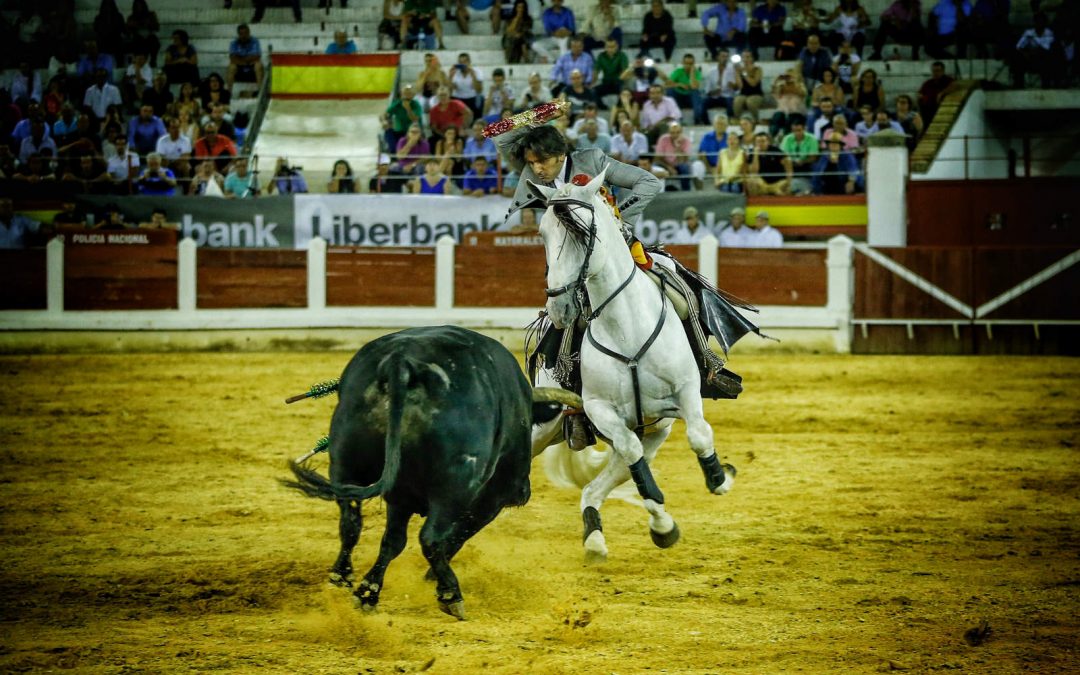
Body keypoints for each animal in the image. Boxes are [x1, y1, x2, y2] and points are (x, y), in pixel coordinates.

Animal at [282, 324, 570, 617]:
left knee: (351, 523)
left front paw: (368, 591)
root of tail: (402, 364)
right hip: (456, 486)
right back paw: (451, 594)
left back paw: (345, 579)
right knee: (430, 538)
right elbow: (456, 535)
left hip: (346, 463)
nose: (523, 492)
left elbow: (393, 541)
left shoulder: (400, 497)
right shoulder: (491, 499)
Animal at [527, 170, 738, 561]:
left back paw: (598, 535)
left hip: (653, 431)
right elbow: (633, 456)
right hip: (546, 422)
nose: (559, 309)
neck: (626, 329)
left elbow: (698, 434)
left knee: (595, 487)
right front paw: (661, 515)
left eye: (583, 232)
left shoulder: (683, 393)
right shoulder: (599, 409)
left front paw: (719, 478)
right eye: (543, 233)